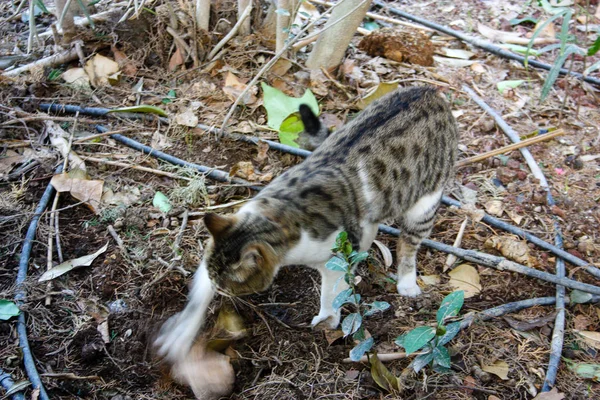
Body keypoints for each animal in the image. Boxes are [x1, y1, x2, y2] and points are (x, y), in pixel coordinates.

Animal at [156, 86, 460, 362]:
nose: (220, 293)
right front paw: (180, 334)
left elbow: (330, 293)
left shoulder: (335, 257)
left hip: (425, 204)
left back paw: (406, 282)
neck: (279, 215)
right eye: (217, 285)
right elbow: (197, 295)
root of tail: (431, 91)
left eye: (227, 288)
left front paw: (327, 321)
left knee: (408, 245)